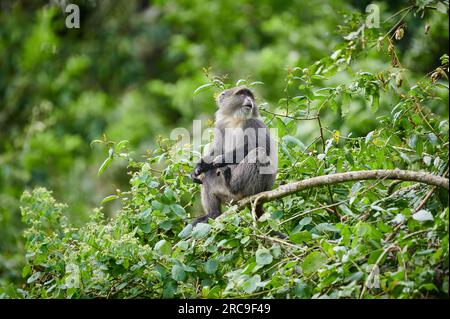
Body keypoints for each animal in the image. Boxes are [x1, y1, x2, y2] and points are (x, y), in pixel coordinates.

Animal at [191, 86, 278, 224]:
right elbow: (217, 150)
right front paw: (200, 166)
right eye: (242, 94)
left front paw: (221, 160)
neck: (236, 120)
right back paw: (212, 215)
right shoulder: (221, 125)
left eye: (250, 96)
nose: (249, 100)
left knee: (259, 152)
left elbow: (263, 147)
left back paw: (232, 185)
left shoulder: (254, 123)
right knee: (206, 177)